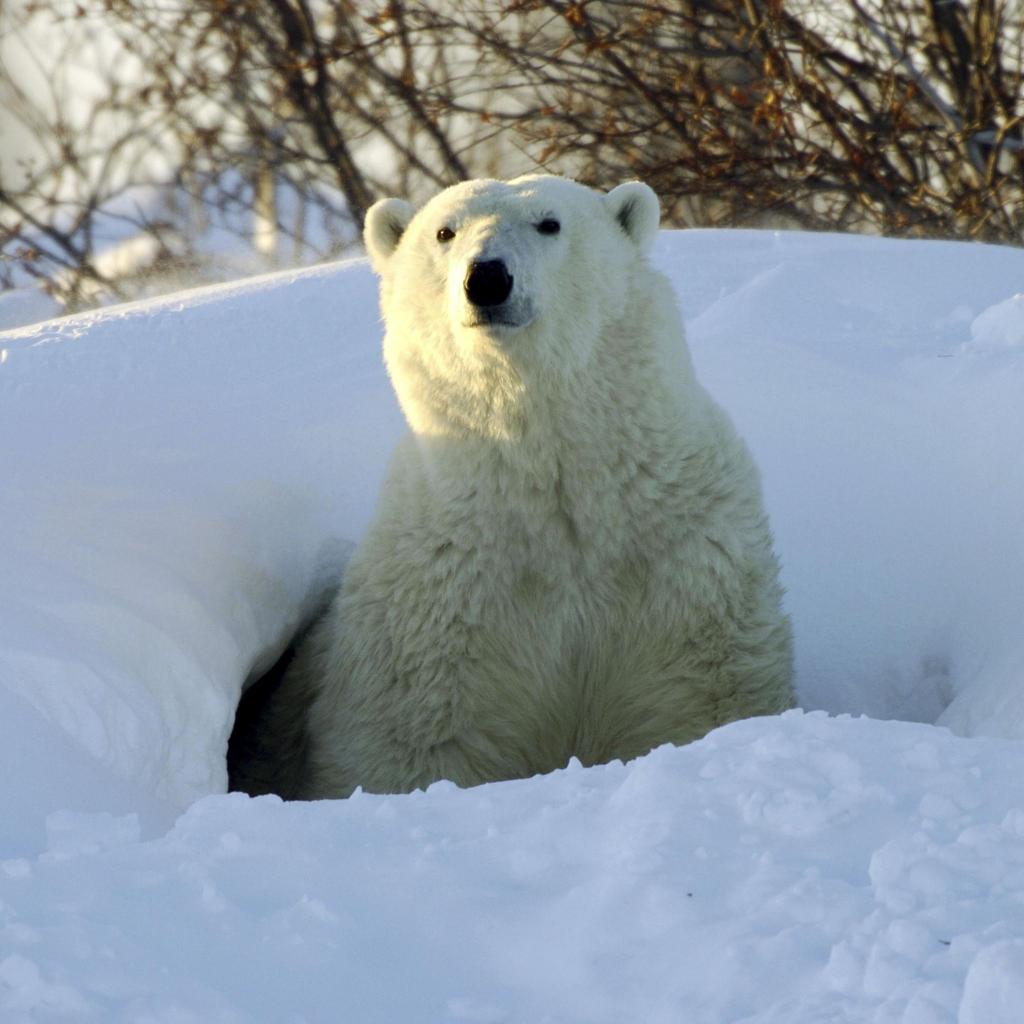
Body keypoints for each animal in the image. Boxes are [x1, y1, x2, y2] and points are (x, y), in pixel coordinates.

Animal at [237, 176, 790, 798]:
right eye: (445, 231)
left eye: (549, 223)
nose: (486, 278)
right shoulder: (440, 605)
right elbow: (412, 744)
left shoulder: (682, 565)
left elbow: (696, 699)